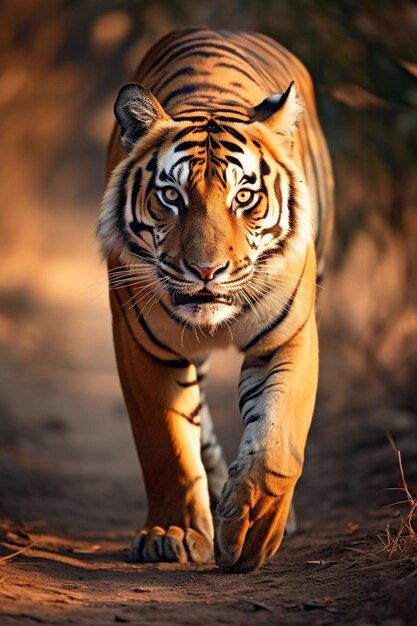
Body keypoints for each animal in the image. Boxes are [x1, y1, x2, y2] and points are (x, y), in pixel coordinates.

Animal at [96, 26, 332, 572]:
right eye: (171, 197)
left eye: (244, 197)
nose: (206, 271)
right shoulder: (141, 345)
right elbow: (166, 444)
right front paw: (174, 532)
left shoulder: (288, 337)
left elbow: (278, 442)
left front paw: (252, 531)